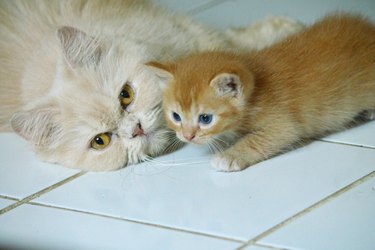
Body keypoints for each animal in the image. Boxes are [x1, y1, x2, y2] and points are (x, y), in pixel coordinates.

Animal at [0, 0, 304, 171]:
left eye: (126, 95)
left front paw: (283, 29)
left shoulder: (188, 32)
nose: (135, 129)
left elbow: (232, 46)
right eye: (100, 141)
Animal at [149, 14, 375, 172]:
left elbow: (260, 139)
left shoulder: (283, 125)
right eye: (176, 116)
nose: (187, 136)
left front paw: (230, 156)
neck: (257, 88)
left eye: (205, 118)